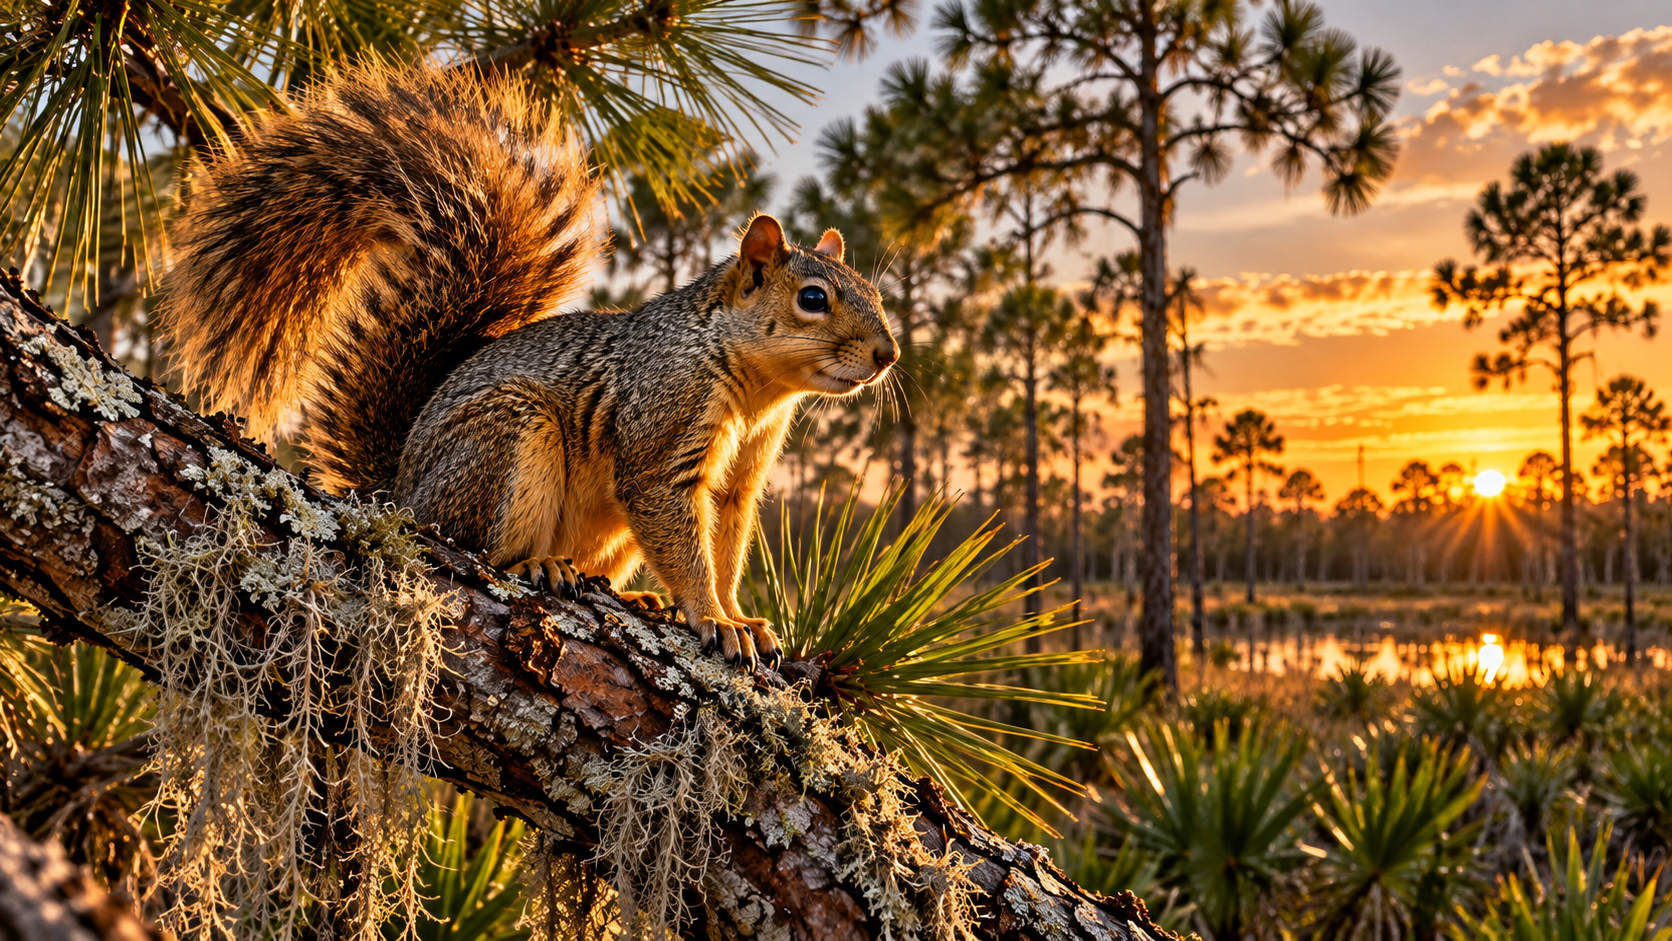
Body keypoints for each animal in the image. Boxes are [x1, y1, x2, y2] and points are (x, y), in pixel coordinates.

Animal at [159, 66, 899, 671]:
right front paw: (711, 618)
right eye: (813, 299)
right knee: (478, 547)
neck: (752, 388)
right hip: (511, 436)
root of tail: (398, 490)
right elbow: (681, 538)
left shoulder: (739, 480)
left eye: (876, 292)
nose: (887, 354)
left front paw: (739, 615)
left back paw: (626, 595)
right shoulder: (661, 430)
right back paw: (539, 563)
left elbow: (724, 548)